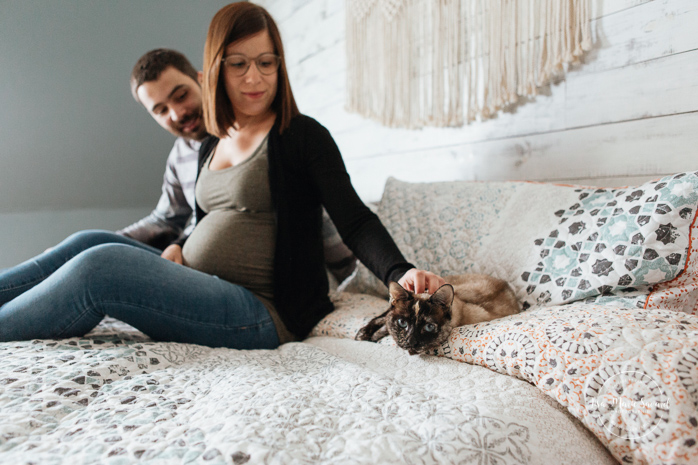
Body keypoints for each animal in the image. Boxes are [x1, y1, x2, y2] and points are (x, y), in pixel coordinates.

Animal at [356, 274, 520, 354]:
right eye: (402, 323)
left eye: (429, 327)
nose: (411, 342)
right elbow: (383, 320)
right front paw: (365, 334)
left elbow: (385, 326)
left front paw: (374, 336)